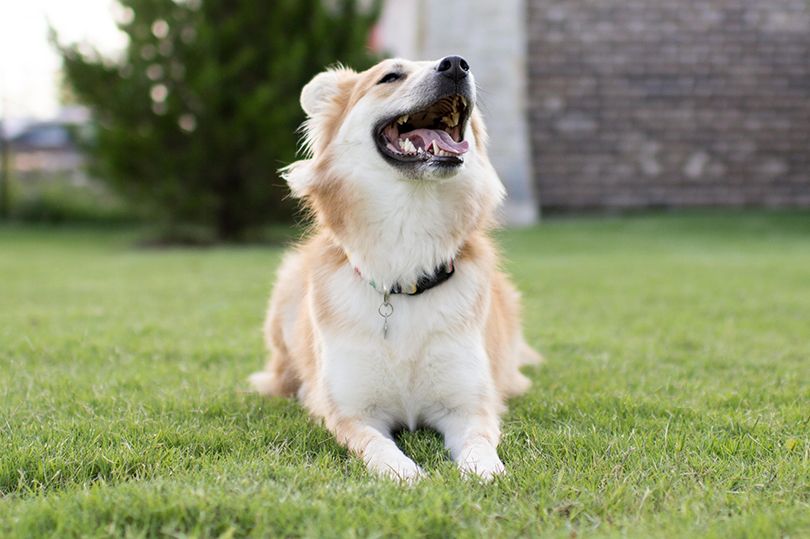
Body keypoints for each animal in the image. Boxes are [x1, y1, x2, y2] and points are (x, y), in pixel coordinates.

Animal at [249, 57, 540, 484]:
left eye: (459, 63)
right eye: (390, 76)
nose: (456, 65)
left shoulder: (470, 406)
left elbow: (480, 442)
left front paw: (484, 470)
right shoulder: (352, 414)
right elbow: (379, 447)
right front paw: (406, 474)